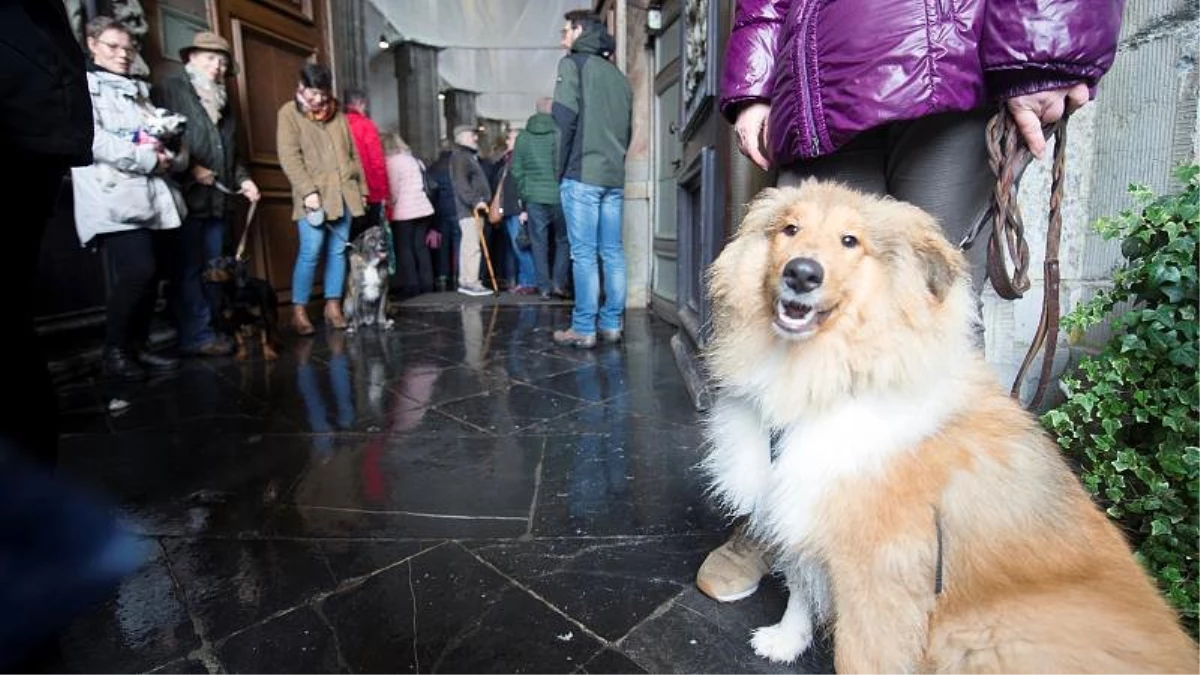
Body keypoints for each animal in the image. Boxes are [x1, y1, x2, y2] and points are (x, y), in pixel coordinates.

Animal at [700, 181, 1195, 667]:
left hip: (978, 628)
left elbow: (858, 654)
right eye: (790, 229)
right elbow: (801, 589)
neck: (831, 382)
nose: (802, 274)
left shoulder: (878, 572)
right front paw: (786, 641)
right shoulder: (798, 506)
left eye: (850, 241)